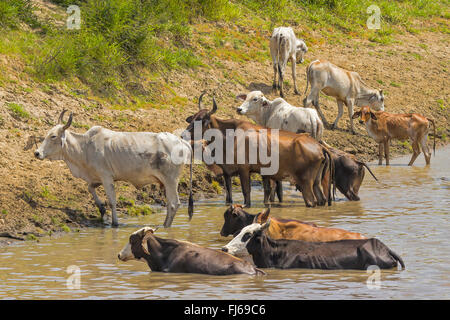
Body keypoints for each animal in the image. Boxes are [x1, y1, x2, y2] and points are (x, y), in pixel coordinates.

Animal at [33, 110, 192, 228]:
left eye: (53, 136)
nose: (37, 153)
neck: (85, 147)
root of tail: (181, 141)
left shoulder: (106, 176)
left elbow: (112, 201)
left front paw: (114, 222)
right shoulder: (96, 178)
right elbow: (90, 188)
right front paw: (101, 209)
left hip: (171, 180)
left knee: (174, 204)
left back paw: (166, 227)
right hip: (166, 182)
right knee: (170, 204)